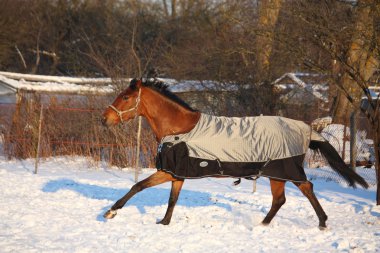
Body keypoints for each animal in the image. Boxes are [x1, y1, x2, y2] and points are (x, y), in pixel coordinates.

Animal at [101, 78, 368, 229]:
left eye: (126, 97)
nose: (105, 119)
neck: (179, 130)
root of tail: (307, 129)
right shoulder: (176, 173)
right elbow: (172, 199)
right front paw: (164, 222)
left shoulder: (168, 171)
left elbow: (138, 186)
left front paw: (111, 212)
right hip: (276, 174)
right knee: (280, 200)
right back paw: (263, 225)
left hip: (286, 169)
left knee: (307, 188)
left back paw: (322, 222)